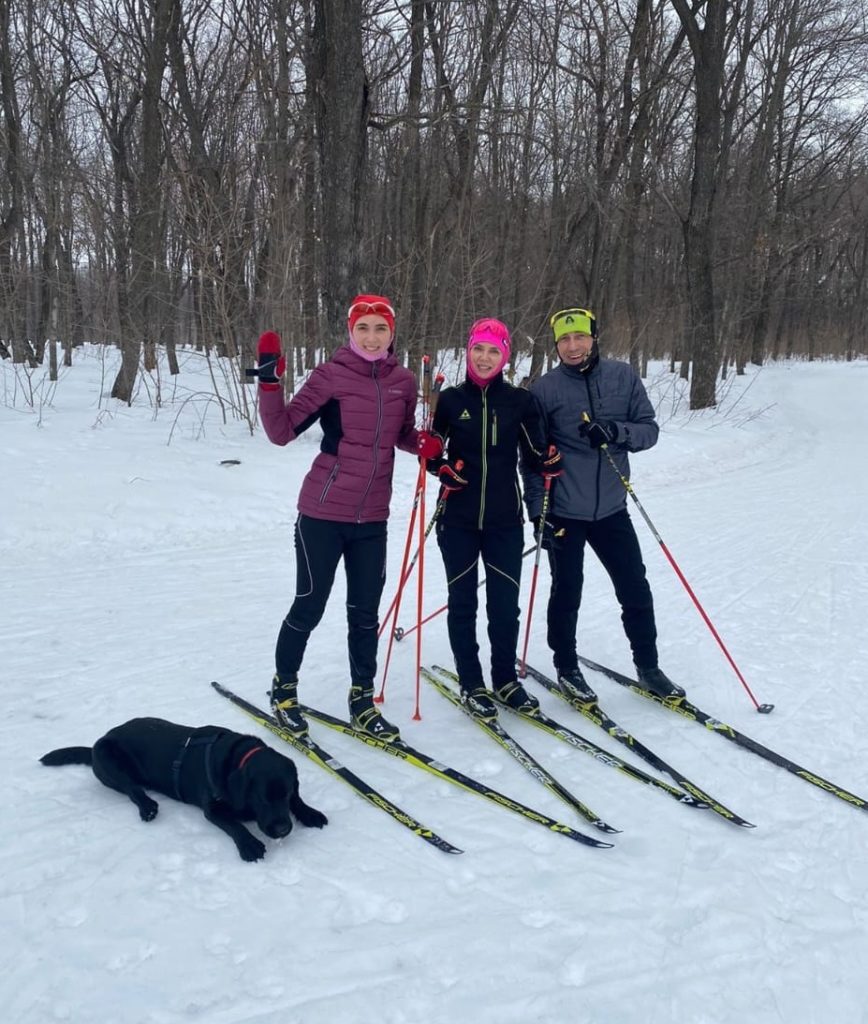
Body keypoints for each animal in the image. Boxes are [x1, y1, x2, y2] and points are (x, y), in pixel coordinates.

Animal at [40, 716, 327, 860]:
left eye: (286, 792)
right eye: (261, 797)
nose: (283, 830)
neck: (239, 758)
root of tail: (97, 742)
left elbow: (298, 800)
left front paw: (310, 812)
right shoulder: (212, 808)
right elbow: (234, 825)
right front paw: (249, 845)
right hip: (108, 758)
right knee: (132, 789)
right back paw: (148, 807)